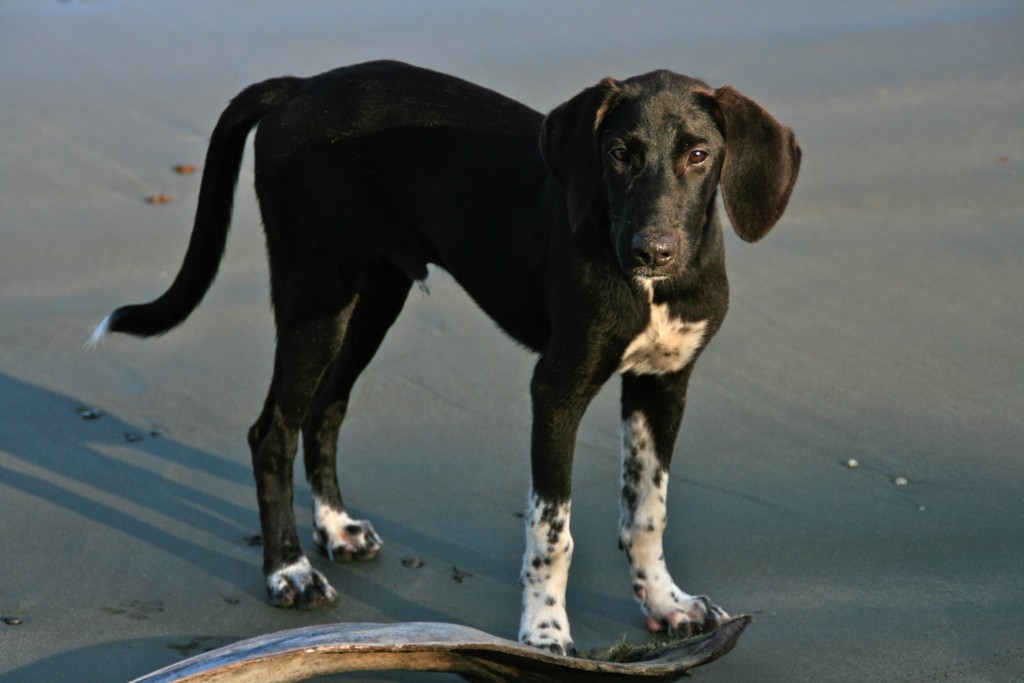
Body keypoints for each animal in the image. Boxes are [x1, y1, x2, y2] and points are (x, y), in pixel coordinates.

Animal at [92, 60, 798, 655]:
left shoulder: (664, 384)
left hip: (372, 300)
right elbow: (552, 532)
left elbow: (647, 511)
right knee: (272, 432)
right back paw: (288, 571)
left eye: (699, 156)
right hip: (315, 297)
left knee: (323, 411)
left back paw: (335, 528)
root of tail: (300, 85)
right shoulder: (557, 387)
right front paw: (544, 634)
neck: (653, 291)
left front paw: (665, 604)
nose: (651, 250)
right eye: (619, 155)